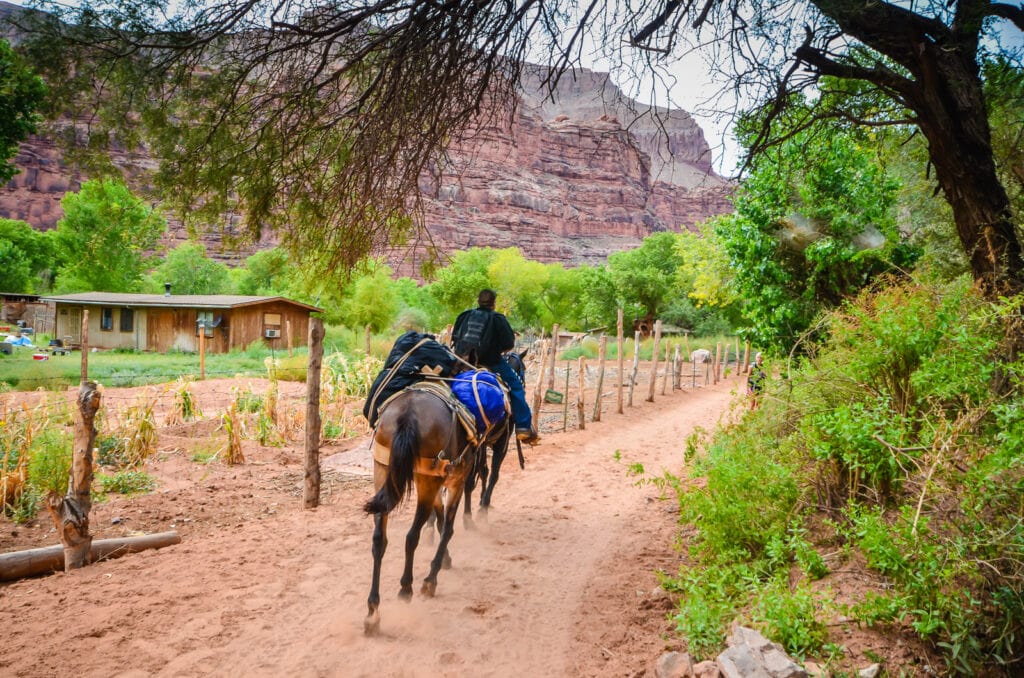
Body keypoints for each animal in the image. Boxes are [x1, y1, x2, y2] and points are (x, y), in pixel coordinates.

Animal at [362, 387, 477, 639]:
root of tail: (409, 413)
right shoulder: (457, 480)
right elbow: (447, 527)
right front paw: (432, 577)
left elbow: (440, 519)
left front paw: (445, 559)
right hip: (427, 479)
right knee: (411, 535)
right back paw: (407, 588)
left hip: (382, 470)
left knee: (379, 539)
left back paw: (373, 613)